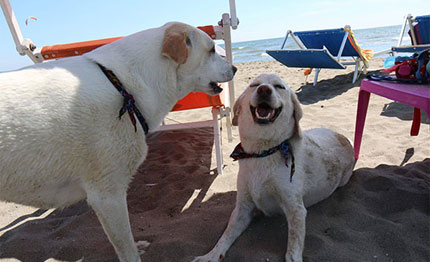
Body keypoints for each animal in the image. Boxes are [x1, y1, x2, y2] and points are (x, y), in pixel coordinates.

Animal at [193, 73, 354, 262]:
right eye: (254, 85)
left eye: (279, 87)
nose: (264, 90)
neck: (262, 153)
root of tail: (345, 138)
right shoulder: (242, 208)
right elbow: (225, 236)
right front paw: (210, 255)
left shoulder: (296, 210)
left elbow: (293, 248)